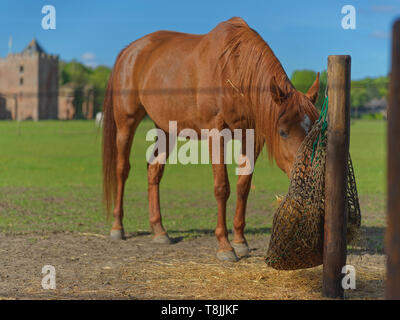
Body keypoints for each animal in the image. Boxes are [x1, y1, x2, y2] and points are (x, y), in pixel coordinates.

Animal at [102, 17, 318, 262]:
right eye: (283, 132)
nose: (307, 176)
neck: (234, 69)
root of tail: (129, 51)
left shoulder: (252, 137)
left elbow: (244, 186)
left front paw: (240, 241)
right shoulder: (217, 134)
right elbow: (222, 187)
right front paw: (225, 246)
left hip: (166, 129)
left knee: (154, 170)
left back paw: (159, 231)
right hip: (126, 123)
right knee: (122, 170)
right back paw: (117, 227)